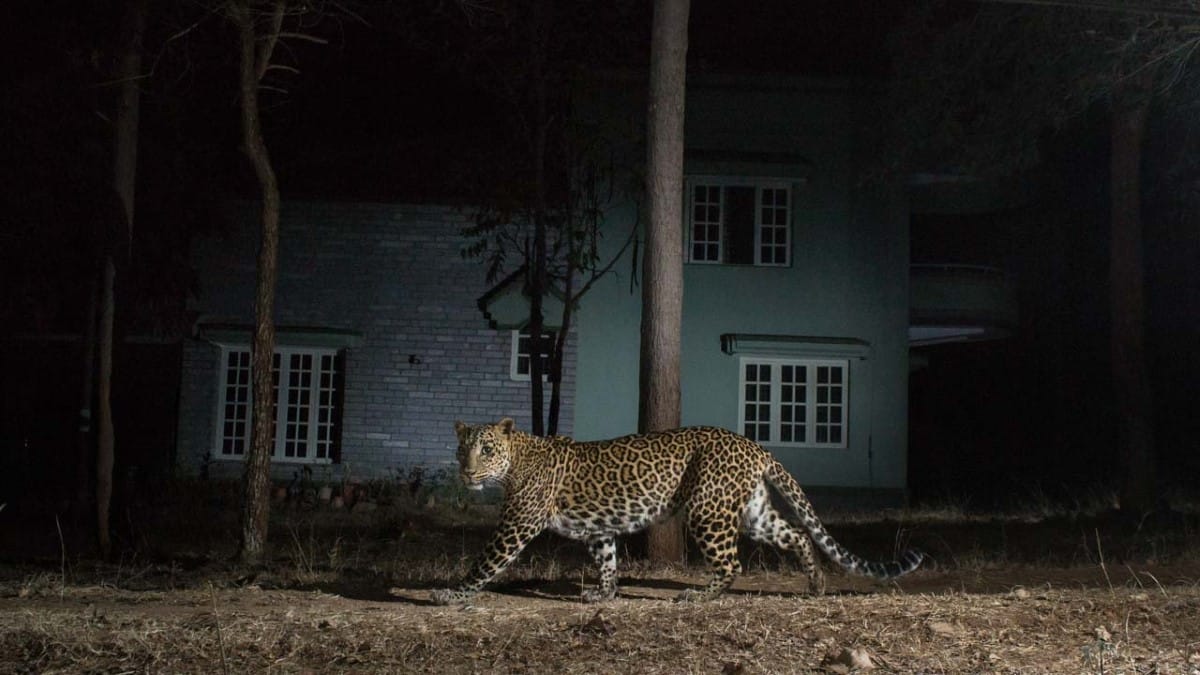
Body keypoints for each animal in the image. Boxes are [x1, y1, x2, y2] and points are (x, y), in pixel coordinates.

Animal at [432, 415, 926, 605]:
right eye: (462, 450)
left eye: (487, 449)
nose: (467, 473)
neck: (515, 460)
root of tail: (753, 444)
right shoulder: (600, 530)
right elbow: (607, 561)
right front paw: (604, 595)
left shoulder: (515, 525)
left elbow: (484, 563)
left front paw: (451, 594)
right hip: (753, 513)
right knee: (798, 534)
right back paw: (817, 584)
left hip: (707, 512)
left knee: (732, 564)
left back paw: (700, 596)